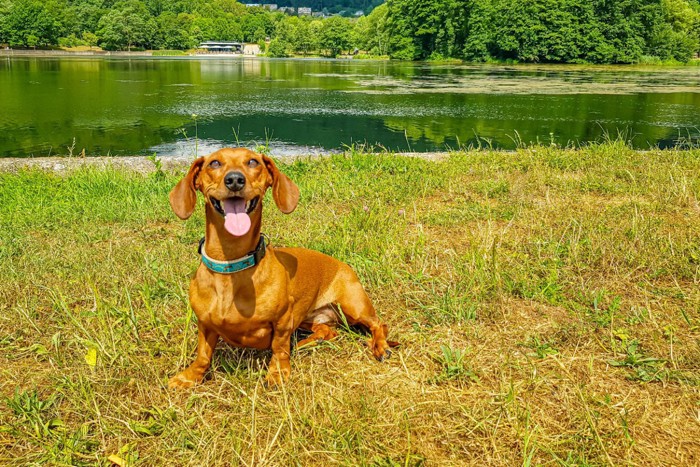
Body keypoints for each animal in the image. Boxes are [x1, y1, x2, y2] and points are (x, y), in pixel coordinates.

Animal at [166, 149, 392, 388]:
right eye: (214, 163)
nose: (235, 179)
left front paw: (277, 372)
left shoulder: (283, 318)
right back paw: (310, 342)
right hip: (308, 319)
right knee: (327, 330)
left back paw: (380, 347)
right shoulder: (205, 323)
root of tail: (342, 264)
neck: (231, 265)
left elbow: (280, 347)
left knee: (379, 324)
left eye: (253, 161)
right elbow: (202, 354)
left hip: (354, 306)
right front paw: (190, 376)